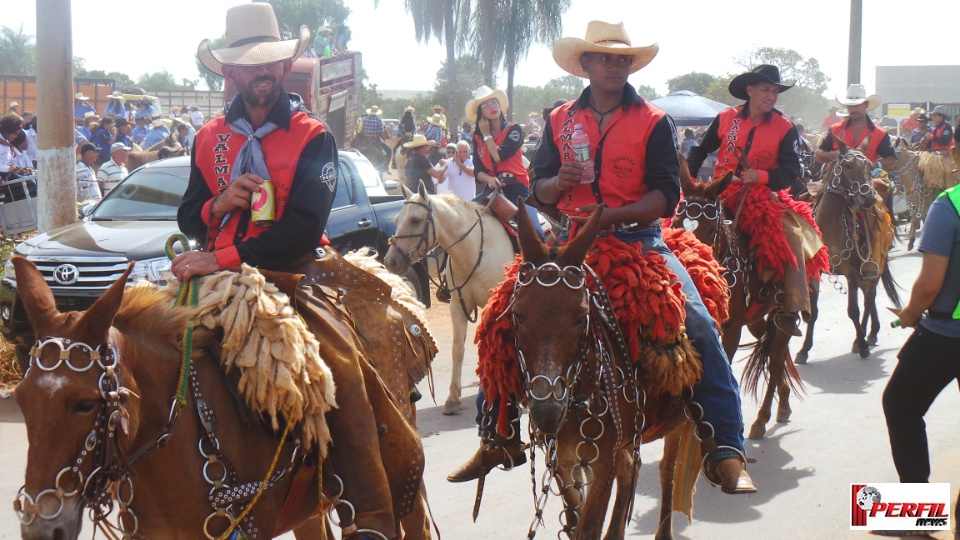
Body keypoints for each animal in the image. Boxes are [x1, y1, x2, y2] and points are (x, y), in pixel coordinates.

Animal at [384, 181, 516, 414]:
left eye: (415, 220)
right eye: (397, 219)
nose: (391, 261)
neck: (475, 250)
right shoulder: (458, 305)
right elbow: (458, 349)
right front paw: (453, 397)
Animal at [510, 204, 696, 540]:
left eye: (581, 317)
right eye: (518, 315)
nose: (547, 413)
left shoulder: (601, 464)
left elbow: (588, 529)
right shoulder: (563, 461)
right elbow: (574, 522)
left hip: (678, 419)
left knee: (667, 469)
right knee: (631, 468)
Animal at [676, 163, 808, 438]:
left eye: (710, 230)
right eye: (674, 223)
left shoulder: (732, 329)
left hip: (782, 312)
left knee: (776, 358)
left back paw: (762, 419)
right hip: (756, 319)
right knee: (772, 350)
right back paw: (784, 402)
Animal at [800, 136, 904, 362]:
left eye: (870, 166)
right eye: (848, 166)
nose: (869, 197)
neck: (829, 228)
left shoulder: (852, 274)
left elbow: (853, 310)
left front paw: (862, 344)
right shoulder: (813, 273)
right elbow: (813, 312)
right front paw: (804, 349)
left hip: (874, 264)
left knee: (869, 299)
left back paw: (864, 337)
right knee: (869, 297)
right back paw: (870, 332)